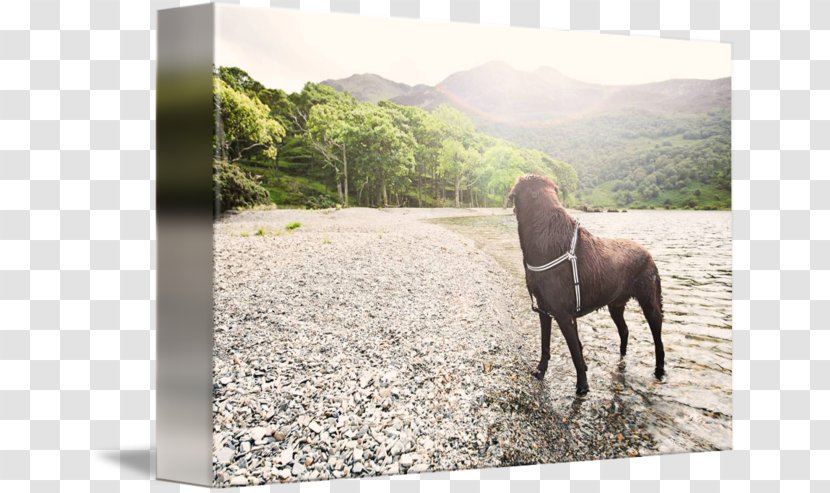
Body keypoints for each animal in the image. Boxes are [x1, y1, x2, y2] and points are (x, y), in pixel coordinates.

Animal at [504, 175, 668, 394]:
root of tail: (648, 252)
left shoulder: (564, 316)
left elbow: (575, 352)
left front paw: (582, 386)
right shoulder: (544, 310)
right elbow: (546, 344)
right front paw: (540, 371)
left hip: (650, 301)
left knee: (658, 339)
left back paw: (659, 370)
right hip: (615, 304)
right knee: (624, 330)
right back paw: (621, 357)